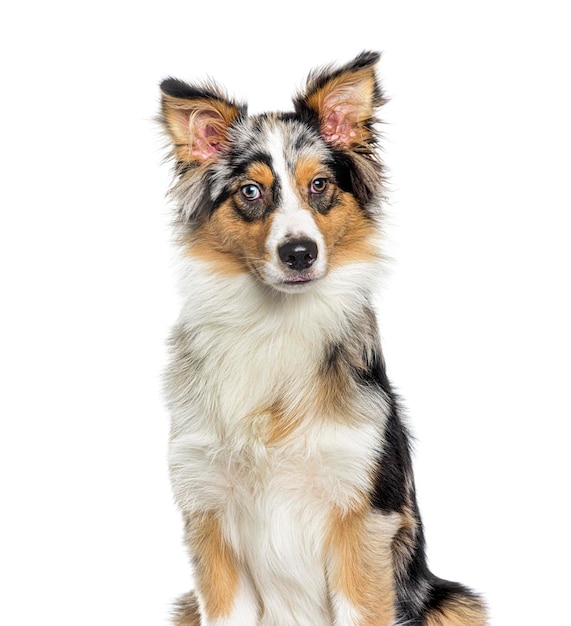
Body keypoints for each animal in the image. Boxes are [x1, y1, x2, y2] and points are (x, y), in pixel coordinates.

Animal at [160, 51, 488, 620]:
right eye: (251, 191)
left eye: (319, 186)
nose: (299, 253)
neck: (275, 324)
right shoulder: (209, 510)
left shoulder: (364, 514)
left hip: (455, 601)